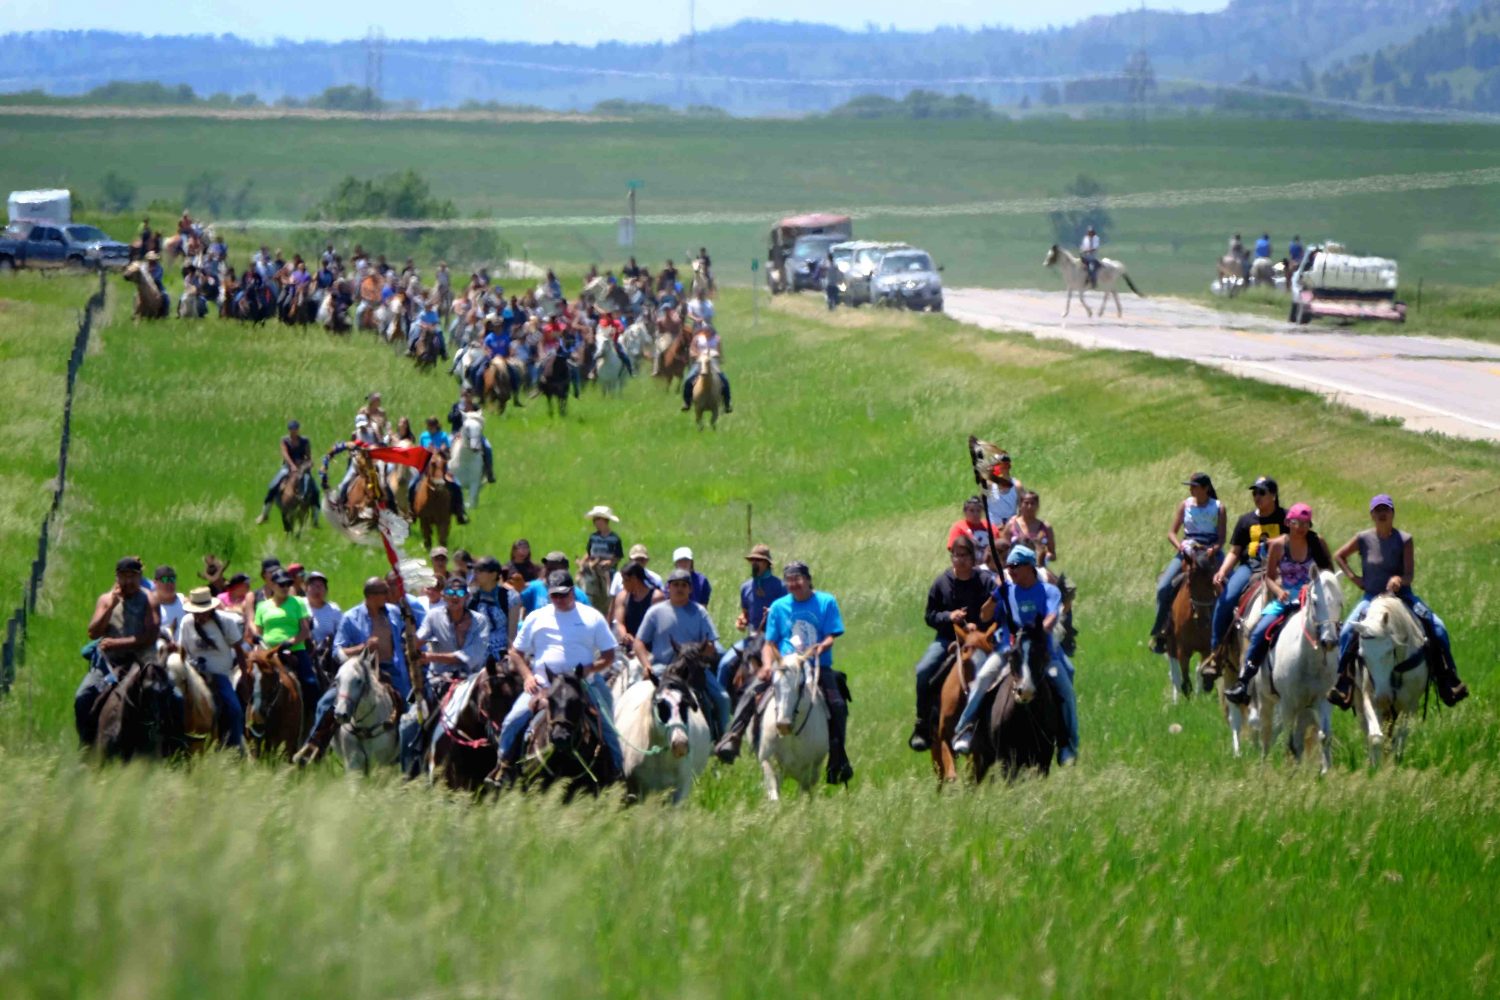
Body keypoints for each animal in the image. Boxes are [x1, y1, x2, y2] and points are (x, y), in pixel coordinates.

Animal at [756, 642, 829, 801]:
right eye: (774, 684)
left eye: (800, 685)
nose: (783, 726)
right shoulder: (768, 762)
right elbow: (774, 793)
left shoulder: (807, 770)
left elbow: (805, 795)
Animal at [971, 619, 1062, 783]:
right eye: (1012, 655)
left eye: (1040, 653)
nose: (1025, 691)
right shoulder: (1006, 758)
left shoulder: (1044, 757)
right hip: (981, 756)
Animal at [1165, 546, 1216, 703]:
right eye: (1190, 583)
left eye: (1211, 581)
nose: (1203, 620)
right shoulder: (1183, 650)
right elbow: (1185, 681)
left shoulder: (1206, 649)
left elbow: (1201, 671)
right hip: (1171, 643)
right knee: (1174, 671)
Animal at [1249, 570, 1343, 773]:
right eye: (1315, 601)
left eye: (1340, 602)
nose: (1329, 641)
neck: (1308, 660)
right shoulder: (1287, 704)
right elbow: (1288, 742)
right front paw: (1291, 773)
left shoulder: (1322, 699)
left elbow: (1324, 735)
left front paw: (1326, 771)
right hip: (1267, 701)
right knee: (1266, 735)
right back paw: (1263, 767)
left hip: (1303, 708)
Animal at [1351, 595, 1431, 766]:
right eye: (1361, 655)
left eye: (1389, 651)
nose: (1383, 698)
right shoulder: (1370, 699)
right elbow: (1375, 737)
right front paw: (1375, 766)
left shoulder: (1410, 705)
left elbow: (1400, 736)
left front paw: (1394, 762)